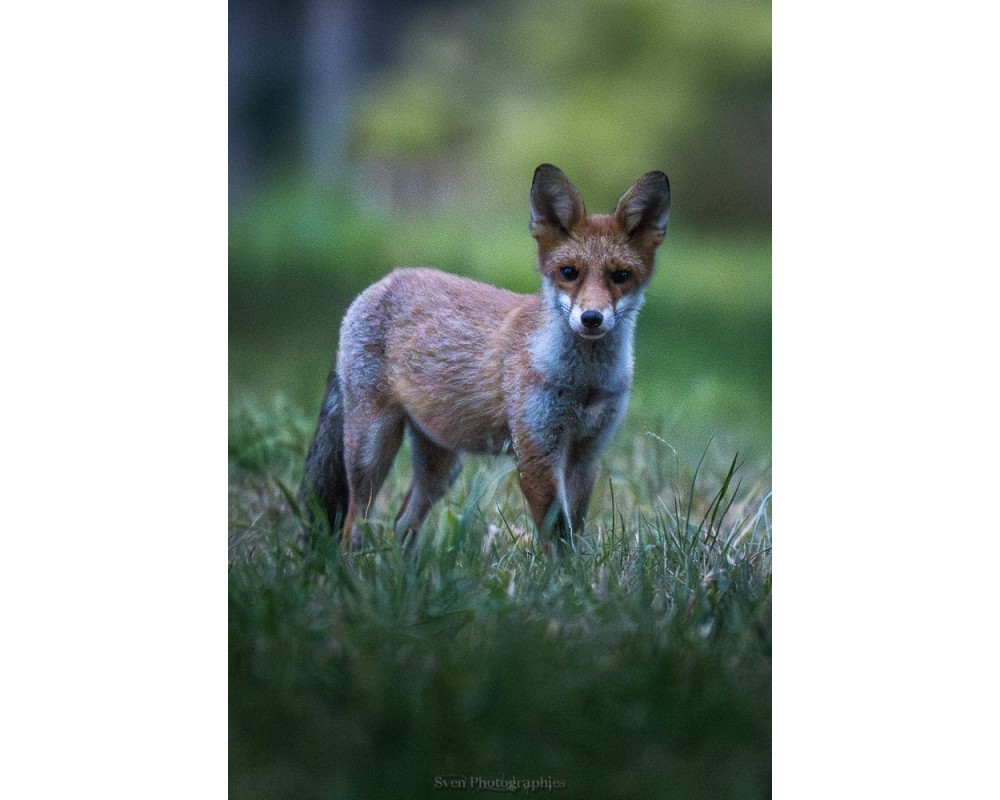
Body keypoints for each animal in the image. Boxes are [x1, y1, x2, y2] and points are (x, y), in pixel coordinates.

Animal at [302, 164, 670, 549]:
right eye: (569, 273)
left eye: (621, 276)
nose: (591, 318)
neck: (584, 385)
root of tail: (382, 281)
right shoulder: (536, 454)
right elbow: (558, 541)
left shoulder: (586, 456)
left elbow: (574, 533)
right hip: (371, 450)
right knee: (354, 522)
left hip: (441, 465)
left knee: (402, 525)